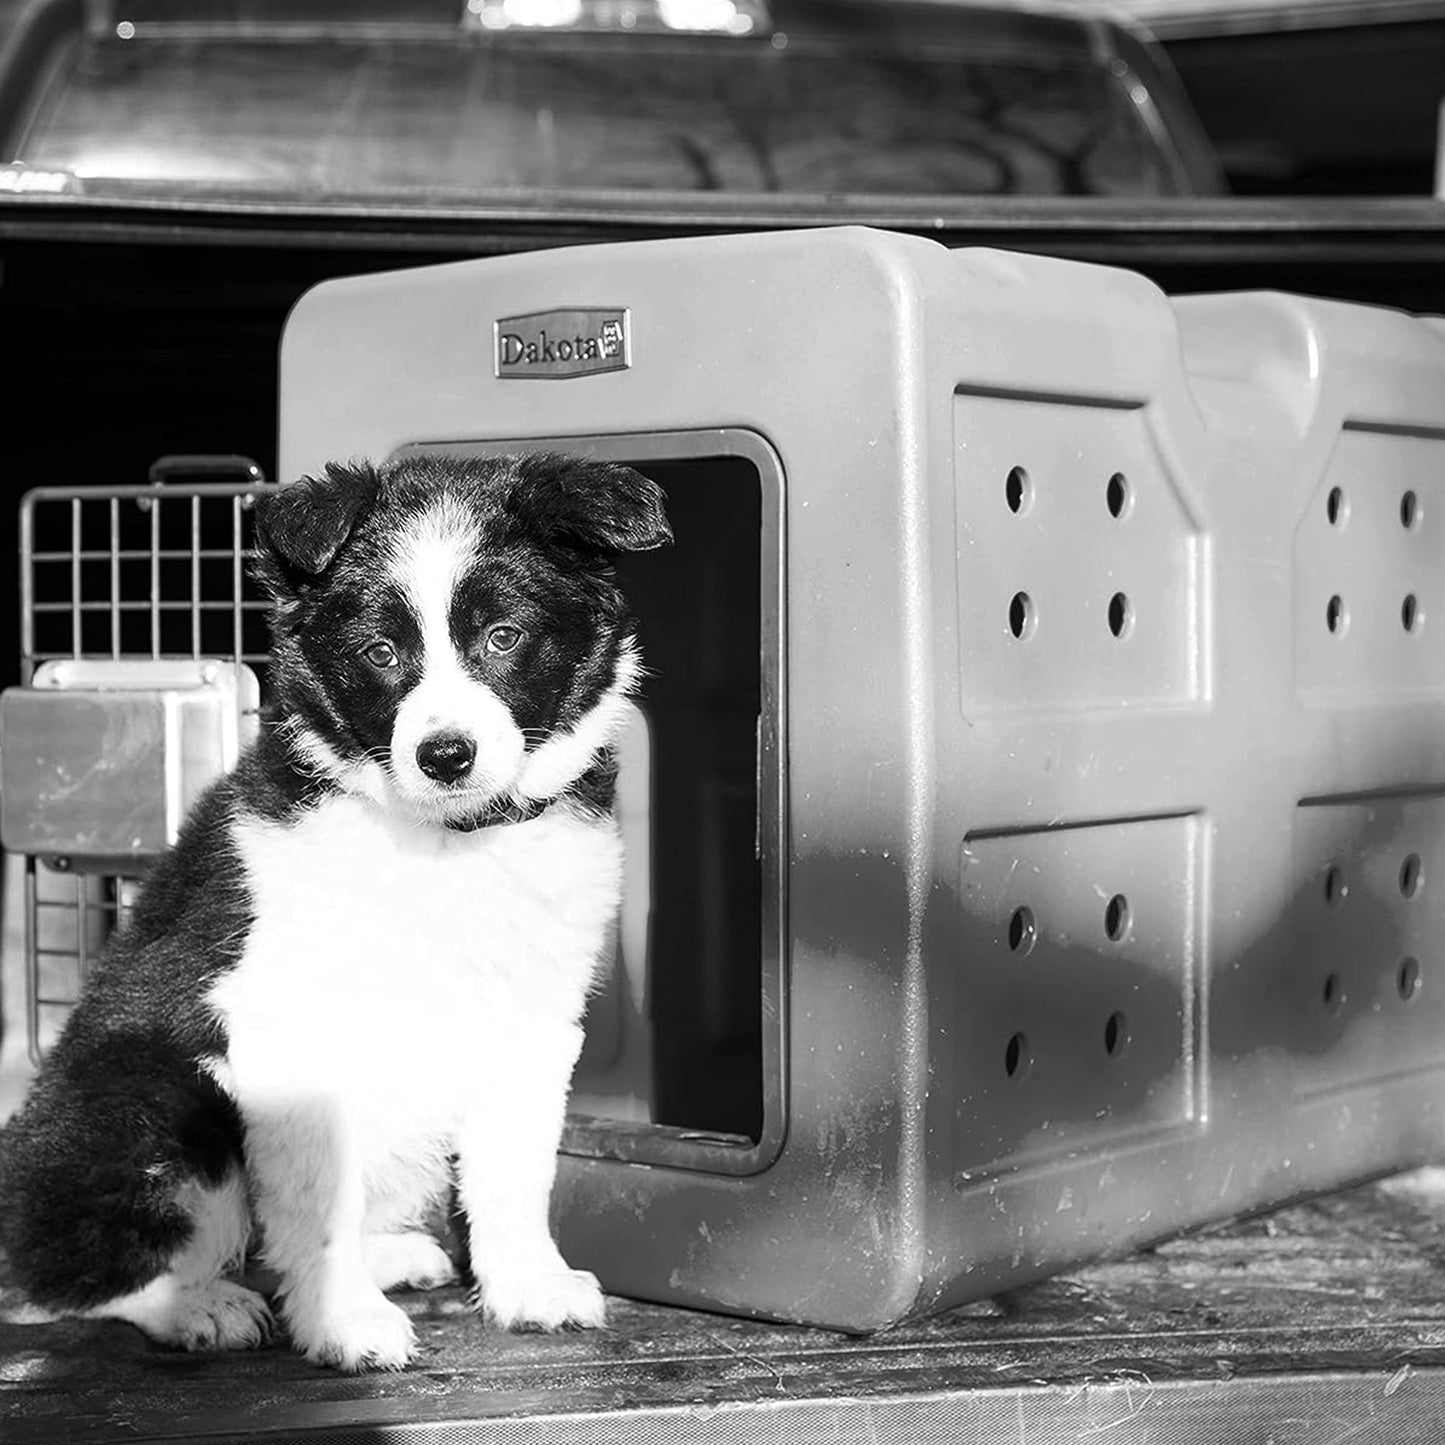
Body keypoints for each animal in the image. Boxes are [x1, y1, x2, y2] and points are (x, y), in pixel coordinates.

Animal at [0, 456, 667, 1369]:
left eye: (502, 637)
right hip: (154, 1098)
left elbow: (515, 1169)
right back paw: (205, 1305)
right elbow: (320, 1197)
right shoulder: (292, 1032)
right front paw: (343, 1323)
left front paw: (528, 1286)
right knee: (75, 1273)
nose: (445, 755)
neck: (444, 843)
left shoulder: (532, 1016)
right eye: (380, 652)